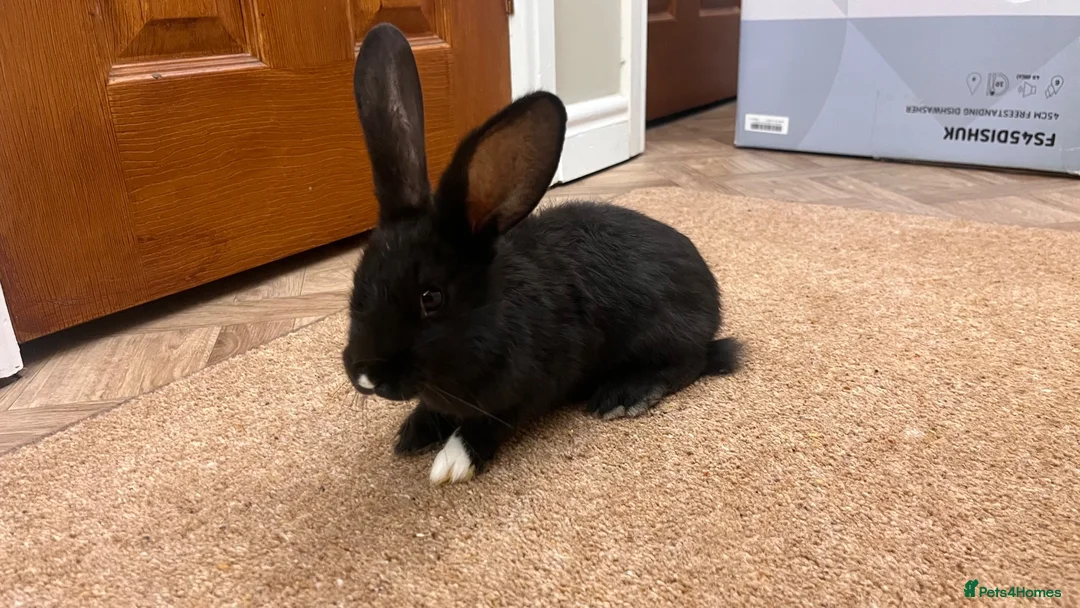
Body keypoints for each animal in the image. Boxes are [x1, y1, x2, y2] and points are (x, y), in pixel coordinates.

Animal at [342, 23, 742, 485]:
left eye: (432, 297)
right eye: (357, 282)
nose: (365, 375)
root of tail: (711, 293)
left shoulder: (530, 388)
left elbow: (491, 423)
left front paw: (453, 462)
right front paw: (413, 433)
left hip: (663, 334)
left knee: (692, 362)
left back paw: (625, 394)